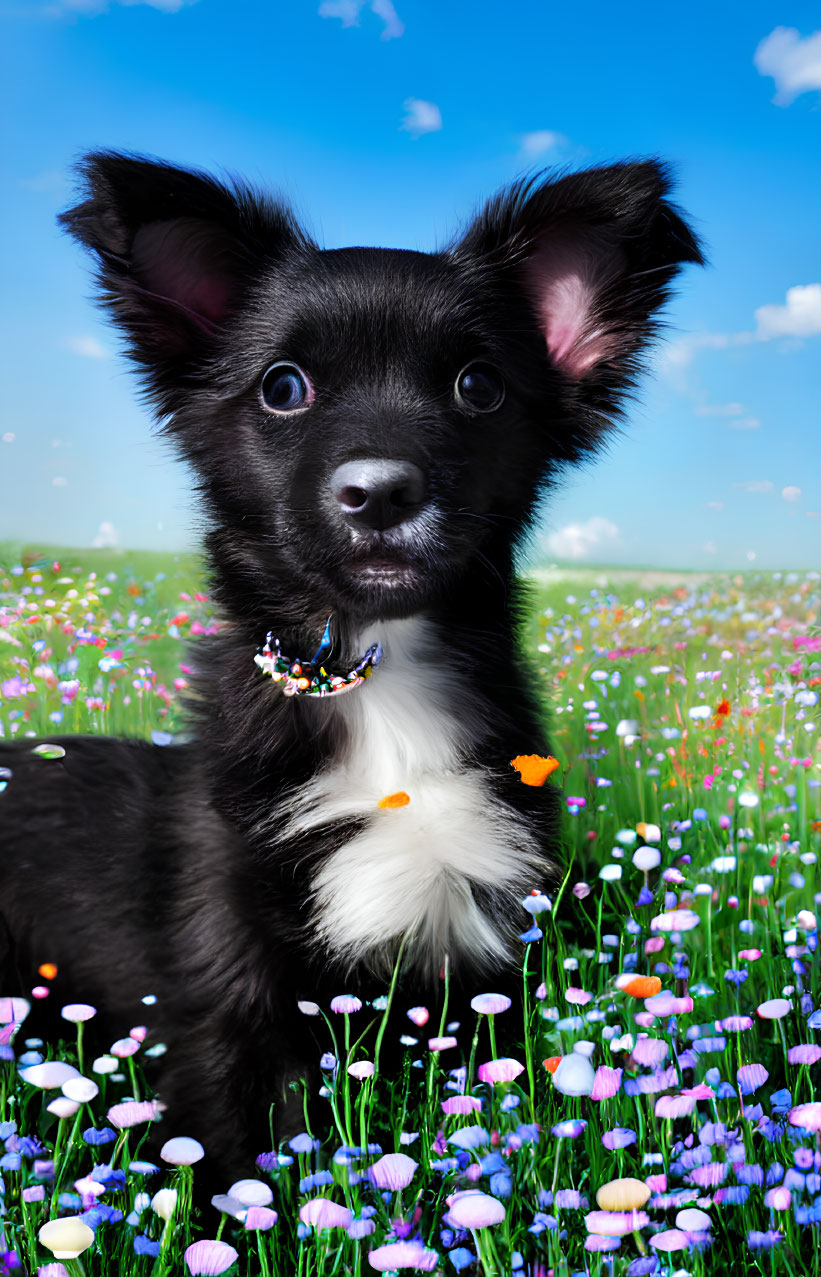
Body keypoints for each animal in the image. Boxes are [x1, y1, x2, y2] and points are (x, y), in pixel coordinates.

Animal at [0, 154, 704, 1190]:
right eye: (282, 387)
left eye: (478, 386)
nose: (380, 492)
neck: (378, 685)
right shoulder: (228, 1001)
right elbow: (243, 1171)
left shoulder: (485, 968)